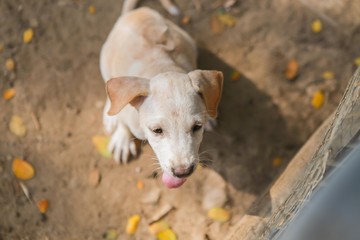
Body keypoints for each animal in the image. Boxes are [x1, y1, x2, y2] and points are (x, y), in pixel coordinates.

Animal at [99, 0, 222, 188]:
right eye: (157, 131)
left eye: (197, 127)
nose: (182, 172)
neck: (161, 67)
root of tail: (137, 12)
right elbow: (122, 118)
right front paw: (122, 137)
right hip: (104, 59)